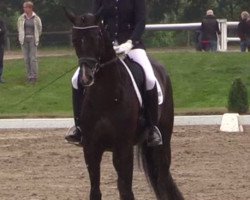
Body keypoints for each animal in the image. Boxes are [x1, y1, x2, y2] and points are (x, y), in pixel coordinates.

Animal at [65, 10, 185, 200]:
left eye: (96, 37)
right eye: (75, 40)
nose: (86, 77)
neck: (105, 95)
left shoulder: (123, 147)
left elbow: (126, 190)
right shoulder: (91, 148)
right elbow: (95, 191)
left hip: (163, 140)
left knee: (163, 178)